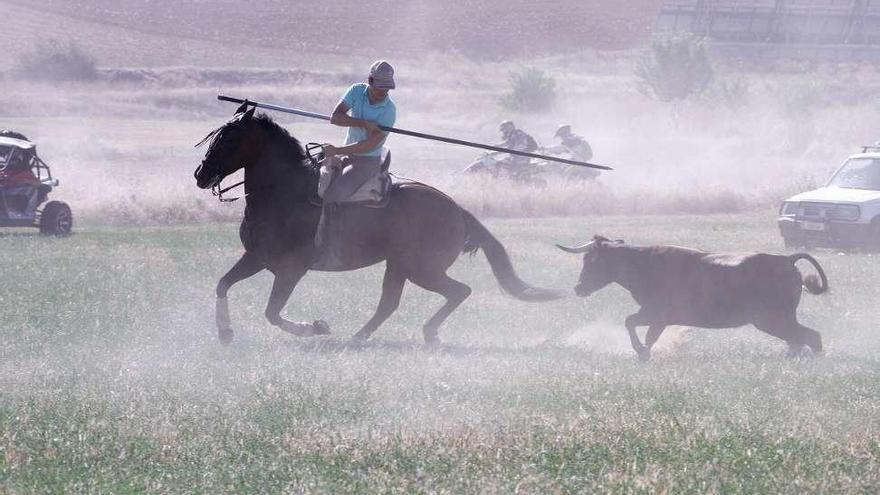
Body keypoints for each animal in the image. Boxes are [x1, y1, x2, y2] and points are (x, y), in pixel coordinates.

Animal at [196, 104, 560, 344]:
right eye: (215, 136)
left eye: (230, 140)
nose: (201, 175)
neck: (285, 193)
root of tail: (458, 210)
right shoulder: (256, 258)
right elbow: (222, 284)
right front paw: (225, 331)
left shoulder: (290, 269)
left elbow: (272, 312)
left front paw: (316, 327)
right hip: (399, 265)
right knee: (390, 303)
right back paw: (359, 337)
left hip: (421, 268)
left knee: (458, 291)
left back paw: (423, 333)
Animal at [560, 236, 828, 360]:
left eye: (591, 260)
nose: (578, 288)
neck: (643, 264)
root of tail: (787, 260)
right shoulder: (659, 319)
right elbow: (648, 334)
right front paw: (644, 352)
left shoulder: (655, 314)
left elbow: (632, 323)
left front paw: (640, 351)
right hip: (780, 319)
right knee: (798, 339)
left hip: (771, 319)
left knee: (810, 337)